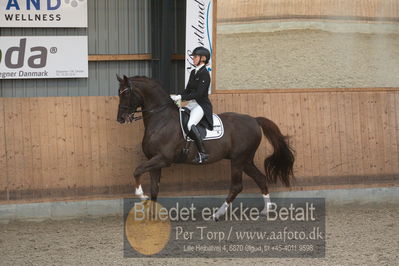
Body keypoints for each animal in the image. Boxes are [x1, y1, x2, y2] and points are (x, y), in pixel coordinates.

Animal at [115, 75, 294, 220]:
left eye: (126, 93)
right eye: (119, 92)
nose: (120, 118)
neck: (161, 119)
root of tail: (255, 120)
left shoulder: (163, 159)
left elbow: (137, 170)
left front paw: (141, 196)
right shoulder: (154, 160)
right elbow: (154, 189)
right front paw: (152, 215)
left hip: (238, 160)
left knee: (237, 186)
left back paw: (217, 214)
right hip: (246, 160)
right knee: (260, 178)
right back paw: (266, 210)